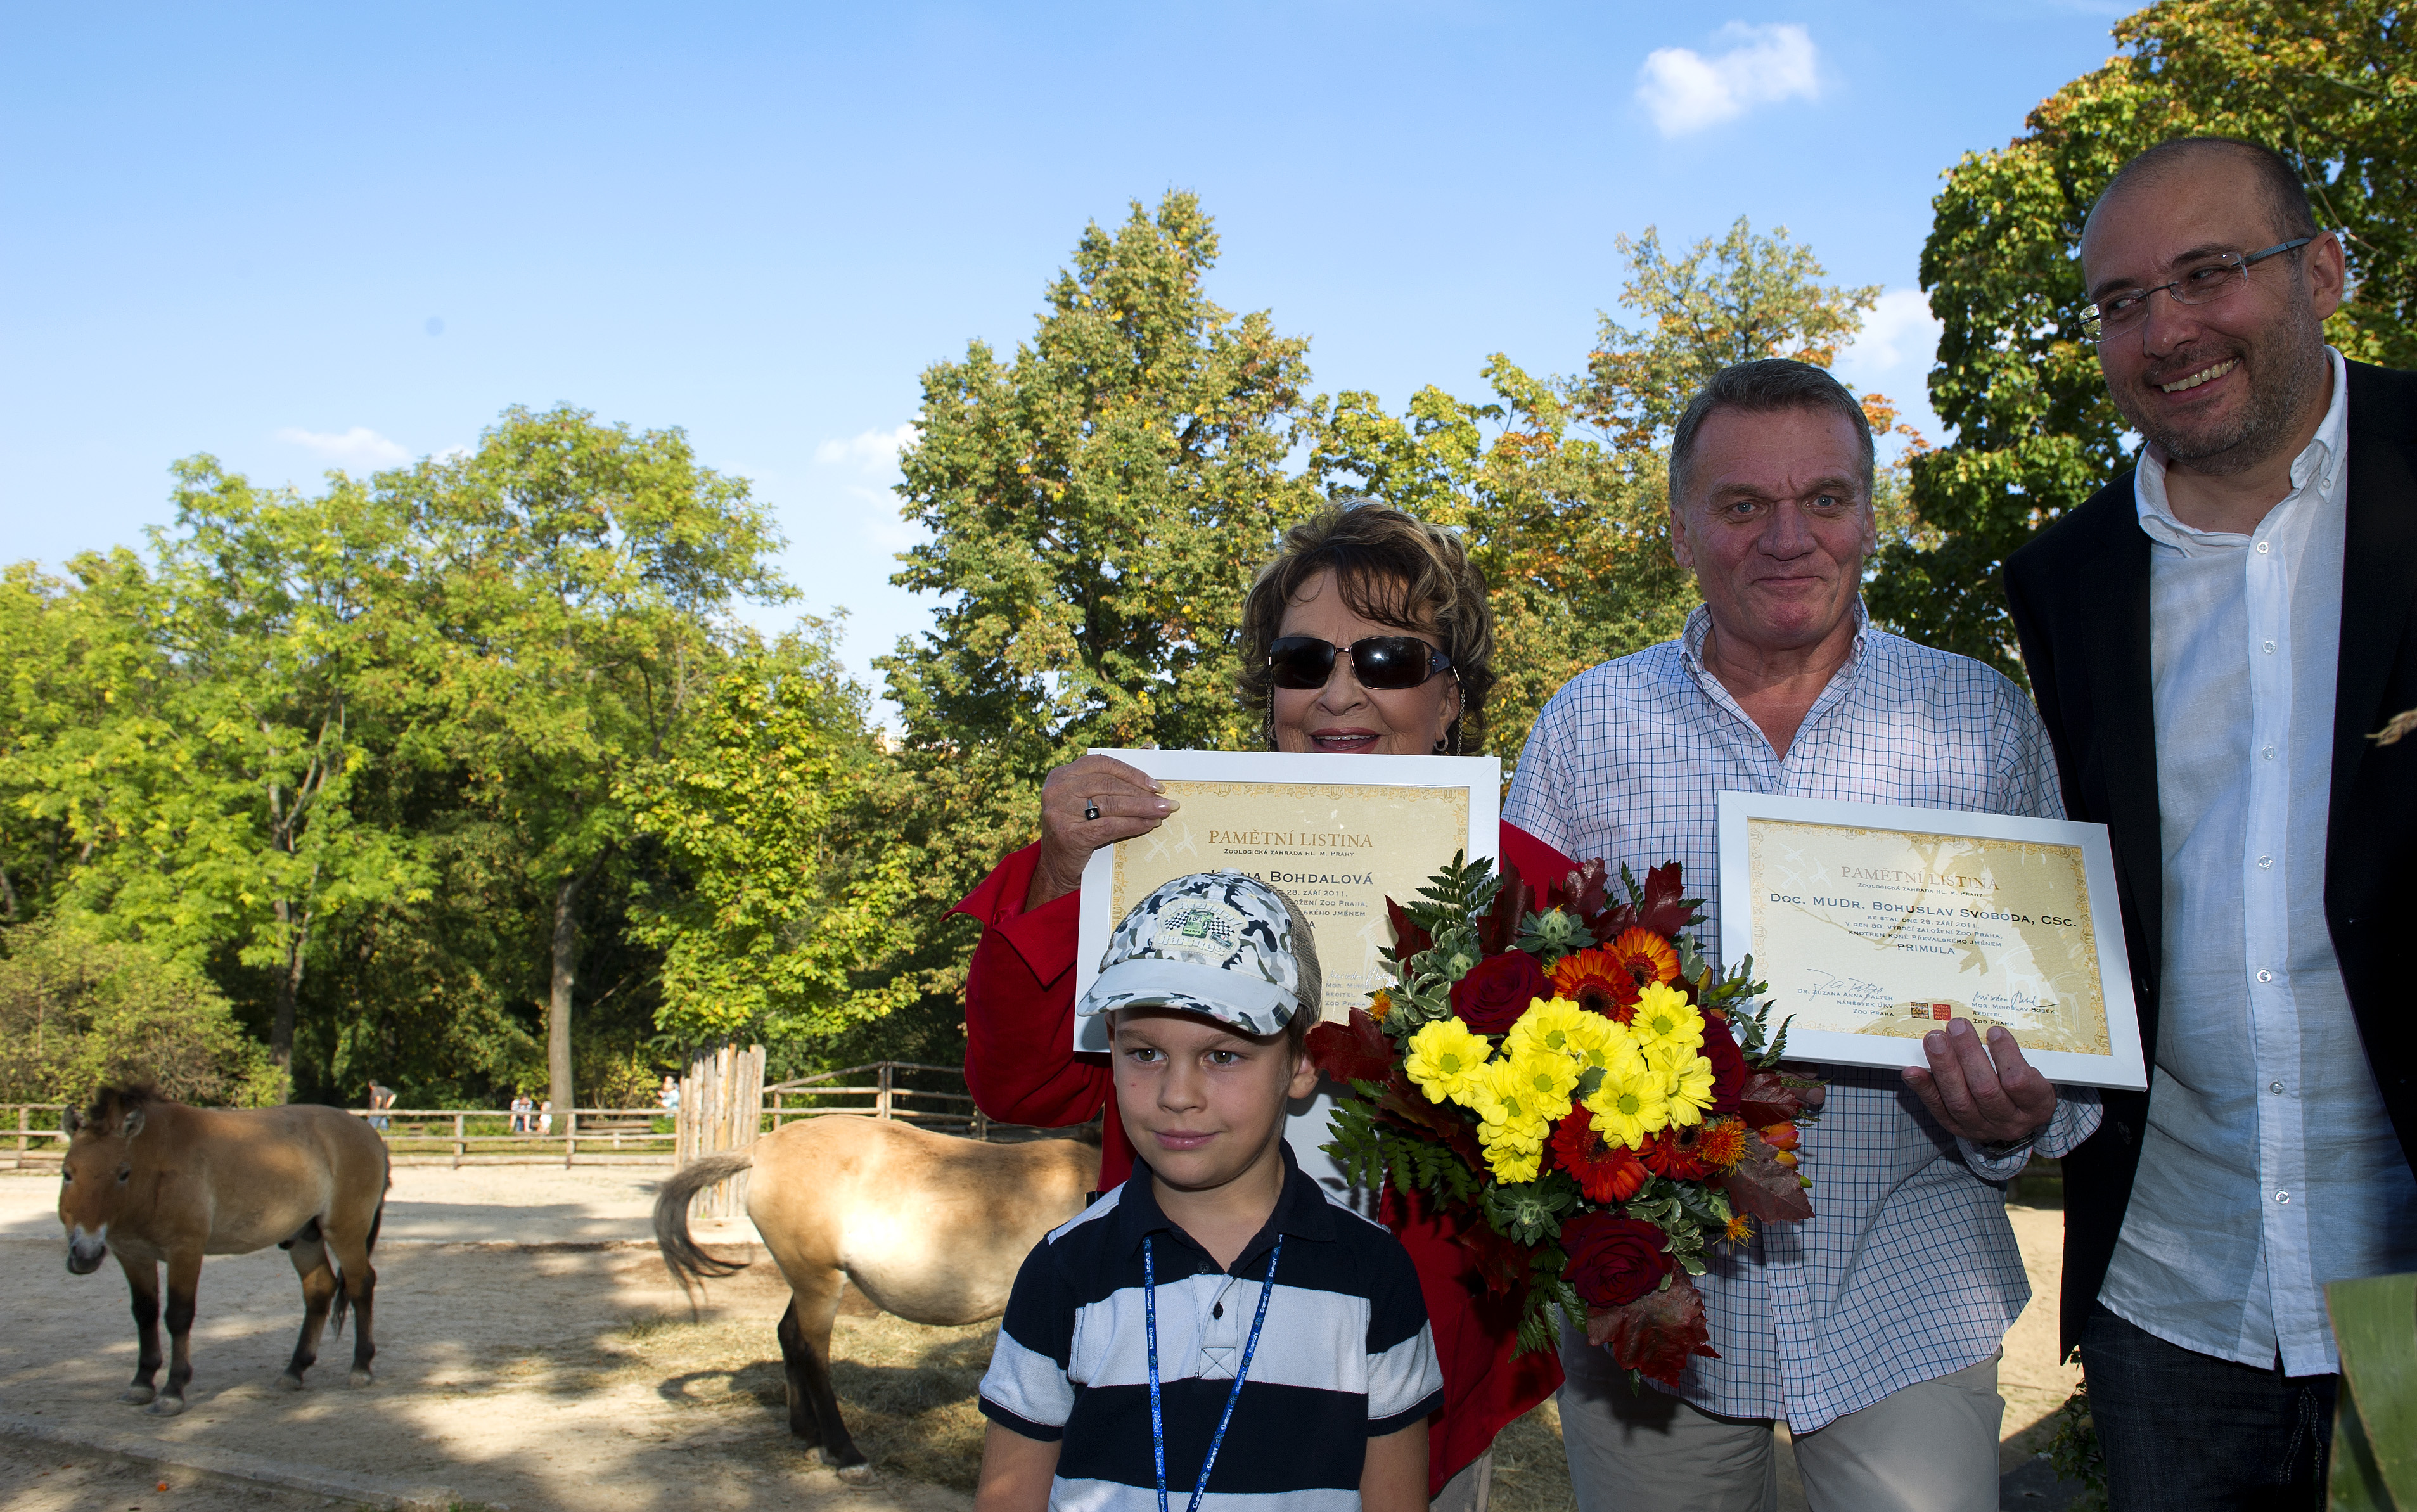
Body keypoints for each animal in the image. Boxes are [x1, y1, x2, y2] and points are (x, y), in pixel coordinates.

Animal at [58, 1082, 389, 1410]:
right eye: (67, 1173)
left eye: (123, 1173)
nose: (85, 1255)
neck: (158, 1163)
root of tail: (368, 1133)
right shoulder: (132, 1255)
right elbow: (145, 1313)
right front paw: (142, 1382)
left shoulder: (185, 1251)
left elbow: (178, 1316)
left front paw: (173, 1389)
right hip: (305, 1238)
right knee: (320, 1289)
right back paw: (294, 1371)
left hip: (345, 1233)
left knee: (361, 1285)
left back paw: (361, 1367)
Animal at [643, 1111, 1097, 1468]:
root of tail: (762, 1147)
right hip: (820, 1284)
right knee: (812, 1354)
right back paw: (845, 1453)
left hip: (804, 1281)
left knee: (788, 1335)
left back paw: (807, 1434)